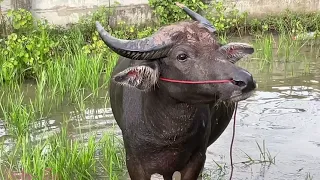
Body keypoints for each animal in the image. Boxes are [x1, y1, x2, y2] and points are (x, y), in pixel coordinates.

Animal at [96, 3, 256, 180]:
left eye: (218, 48)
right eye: (182, 56)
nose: (246, 80)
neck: (167, 135)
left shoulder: (197, 159)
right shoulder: (134, 163)